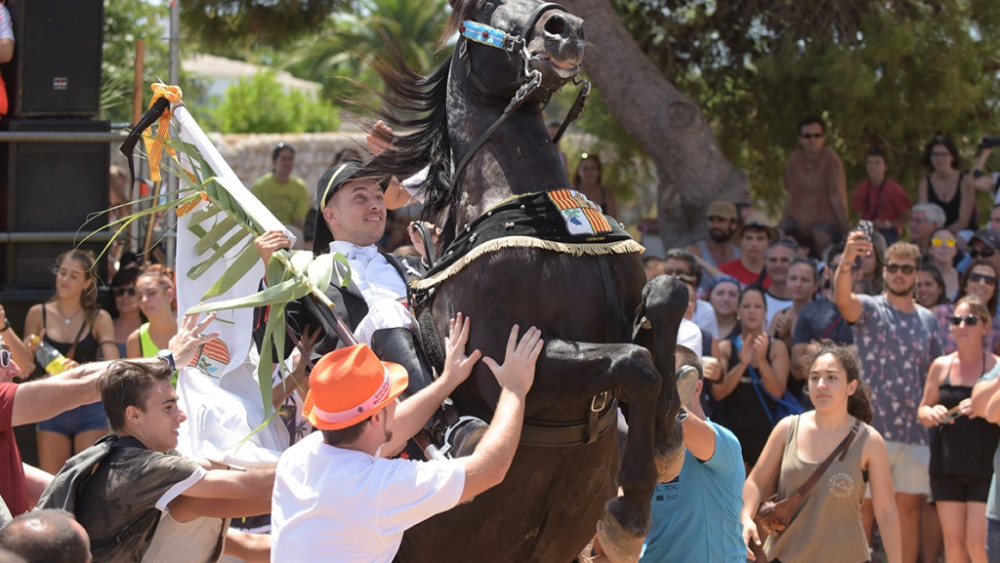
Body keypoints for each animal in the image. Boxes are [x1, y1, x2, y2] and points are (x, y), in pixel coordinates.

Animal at [364, 2, 692, 560]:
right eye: (481, 7)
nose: (565, 28)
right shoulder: (503, 361)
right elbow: (635, 363)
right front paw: (629, 515)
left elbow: (669, 298)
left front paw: (668, 441)